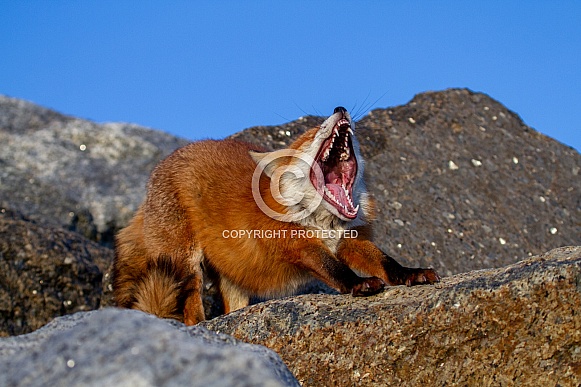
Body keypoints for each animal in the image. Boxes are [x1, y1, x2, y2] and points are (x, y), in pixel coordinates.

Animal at [112, 106, 440, 324]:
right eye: (312, 135)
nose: (340, 108)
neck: (324, 223)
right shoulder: (298, 244)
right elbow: (333, 268)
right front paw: (357, 285)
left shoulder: (350, 239)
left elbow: (386, 261)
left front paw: (410, 274)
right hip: (185, 264)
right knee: (191, 313)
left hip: (231, 278)